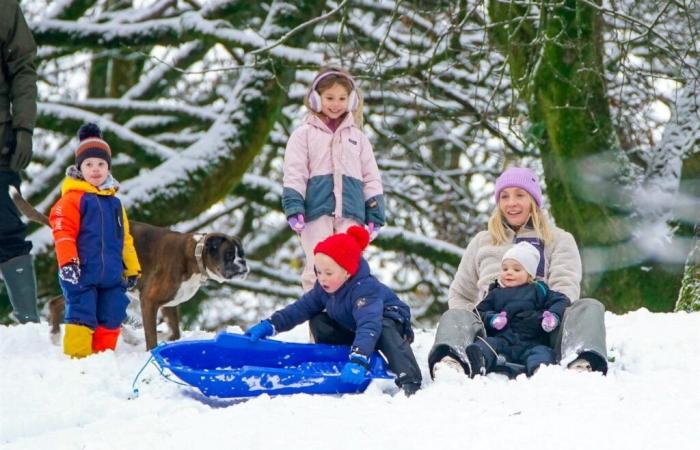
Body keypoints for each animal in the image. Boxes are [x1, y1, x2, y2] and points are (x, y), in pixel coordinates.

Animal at [10, 185, 249, 350]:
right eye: (229, 255)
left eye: (242, 254)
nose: (243, 264)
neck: (194, 255)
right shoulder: (149, 300)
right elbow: (152, 336)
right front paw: (151, 350)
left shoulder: (169, 304)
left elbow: (174, 333)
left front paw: (157, 336)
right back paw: (58, 335)